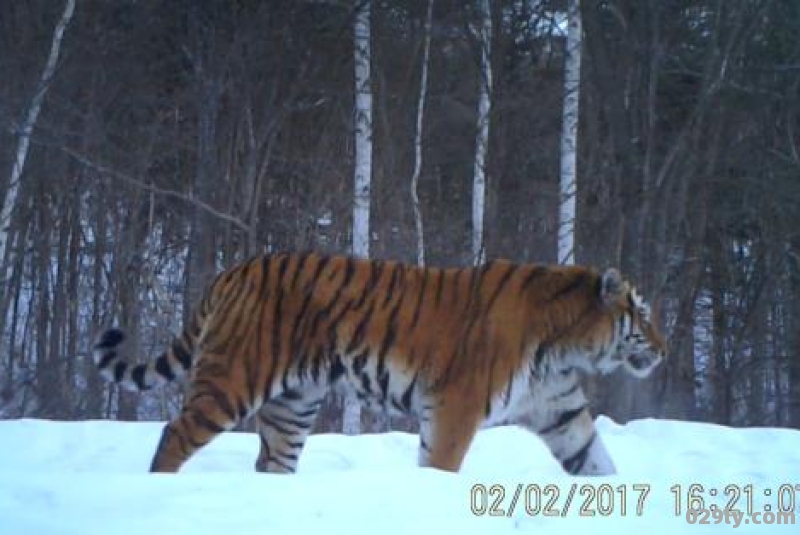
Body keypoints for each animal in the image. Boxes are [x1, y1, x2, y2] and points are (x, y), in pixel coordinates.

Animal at [94, 253, 664, 476]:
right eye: (643, 314)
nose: (664, 348)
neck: (567, 346)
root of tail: (233, 270)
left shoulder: (561, 414)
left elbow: (597, 462)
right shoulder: (455, 409)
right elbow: (441, 465)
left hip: (292, 405)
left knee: (271, 461)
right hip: (232, 379)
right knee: (174, 435)